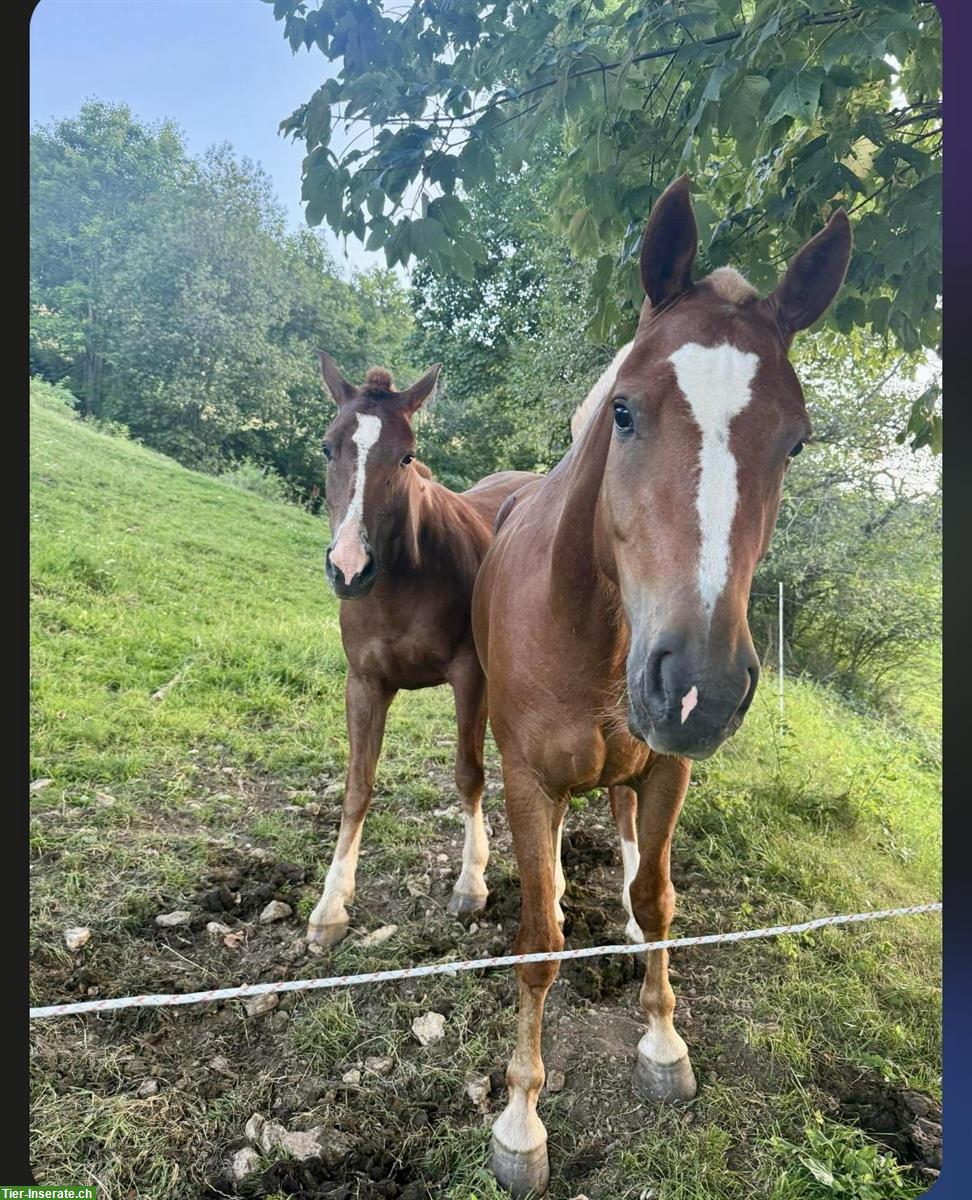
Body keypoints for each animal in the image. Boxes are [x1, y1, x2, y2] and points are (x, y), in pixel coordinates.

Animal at [307, 355, 535, 945]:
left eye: (406, 455)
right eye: (328, 447)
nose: (349, 568)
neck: (401, 583)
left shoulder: (471, 678)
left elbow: (468, 774)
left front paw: (471, 882)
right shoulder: (365, 683)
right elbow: (357, 786)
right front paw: (331, 904)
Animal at [470, 174, 849, 1195]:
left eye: (795, 444)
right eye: (625, 411)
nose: (700, 686)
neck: (592, 630)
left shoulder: (669, 770)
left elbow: (657, 899)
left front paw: (663, 1043)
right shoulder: (531, 780)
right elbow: (540, 943)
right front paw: (521, 1121)